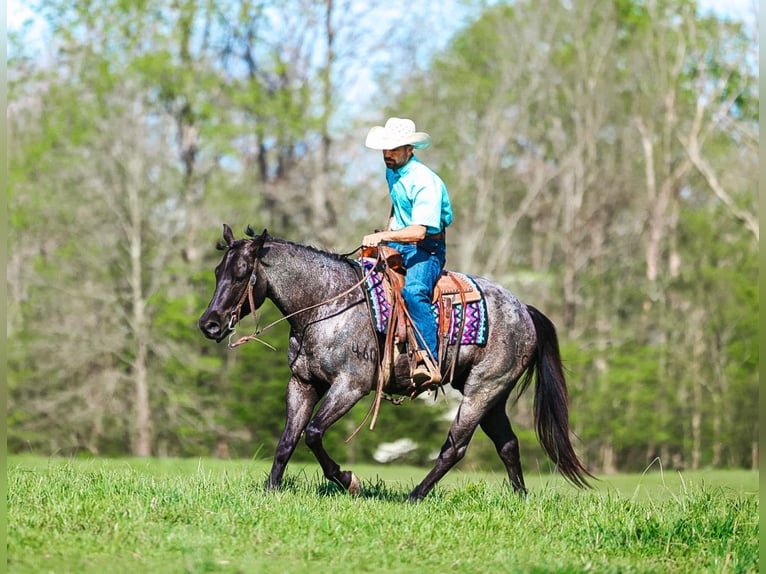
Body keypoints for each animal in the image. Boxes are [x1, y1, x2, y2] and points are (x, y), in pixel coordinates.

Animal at [198, 224, 593, 500]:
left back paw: (414, 496)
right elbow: (287, 439)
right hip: (491, 396)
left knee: (455, 447)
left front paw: (348, 480)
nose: (209, 324)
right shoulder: (303, 383)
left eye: (241, 273)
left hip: (482, 391)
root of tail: (524, 309)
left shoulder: (351, 386)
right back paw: (520, 498)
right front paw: (271, 489)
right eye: (218, 271)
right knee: (507, 444)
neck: (327, 305)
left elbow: (312, 433)